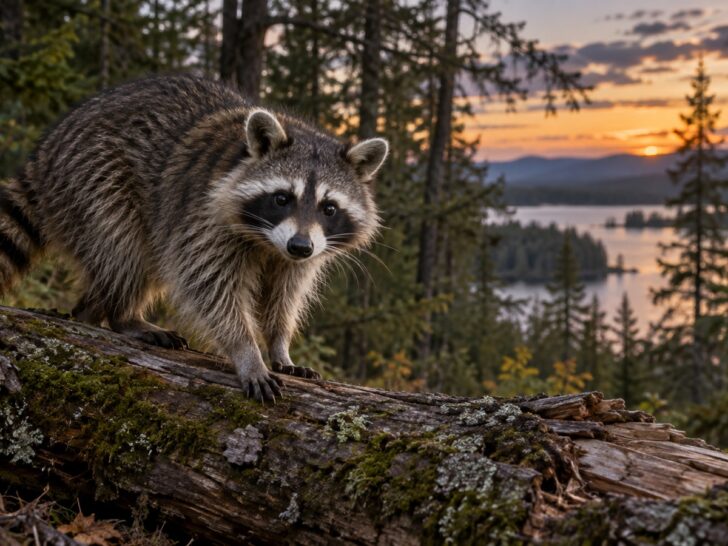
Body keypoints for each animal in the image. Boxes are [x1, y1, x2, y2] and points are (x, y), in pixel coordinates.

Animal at [1, 75, 386, 402]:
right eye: (282, 198)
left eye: (329, 208)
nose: (300, 247)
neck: (268, 241)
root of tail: (46, 151)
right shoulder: (204, 216)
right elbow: (209, 285)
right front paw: (247, 351)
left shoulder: (299, 253)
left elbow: (284, 294)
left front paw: (279, 344)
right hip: (93, 177)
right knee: (122, 246)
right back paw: (124, 315)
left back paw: (91, 312)